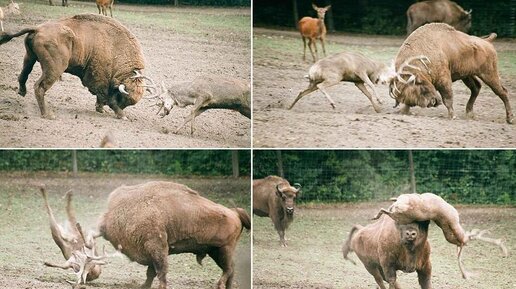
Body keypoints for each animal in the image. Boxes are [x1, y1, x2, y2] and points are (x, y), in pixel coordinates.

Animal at [0, 13, 155, 119]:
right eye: (123, 98)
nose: (122, 110)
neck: (115, 48)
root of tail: (37, 29)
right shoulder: (100, 81)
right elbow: (106, 96)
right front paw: (121, 115)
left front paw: (101, 109)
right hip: (54, 69)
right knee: (39, 87)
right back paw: (48, 115)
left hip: (30, 57)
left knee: (23, 74)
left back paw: (22, 92)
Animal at [89, 180, 251, 288]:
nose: (92, 276)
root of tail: (235, 212)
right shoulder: (153, 252)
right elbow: (151, 273)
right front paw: (144, 286)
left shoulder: (157, 248)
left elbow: (160, 271)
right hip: (215, 251)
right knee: (230, 270)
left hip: (223, 249)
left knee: (229, 269)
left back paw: (219, 285)